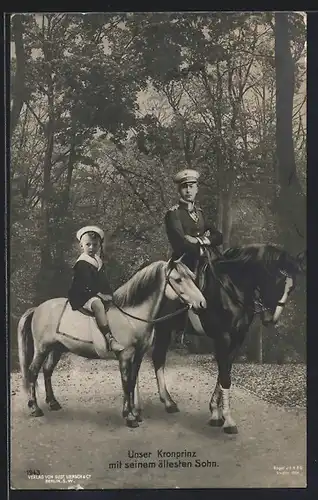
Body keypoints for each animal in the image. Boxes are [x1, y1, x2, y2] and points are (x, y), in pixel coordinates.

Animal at [150, 244, 304, 432]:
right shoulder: (223, 338)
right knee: (157, 358)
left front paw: (215, 413)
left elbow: (225, 371)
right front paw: (228, 420)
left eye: (291, 288)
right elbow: (224, 376)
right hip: (162, 328)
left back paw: (167, 402)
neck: (233, 288)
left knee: (158, 357)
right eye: (278, 282)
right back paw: (168, 403)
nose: (270, 319)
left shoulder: (237, 339)